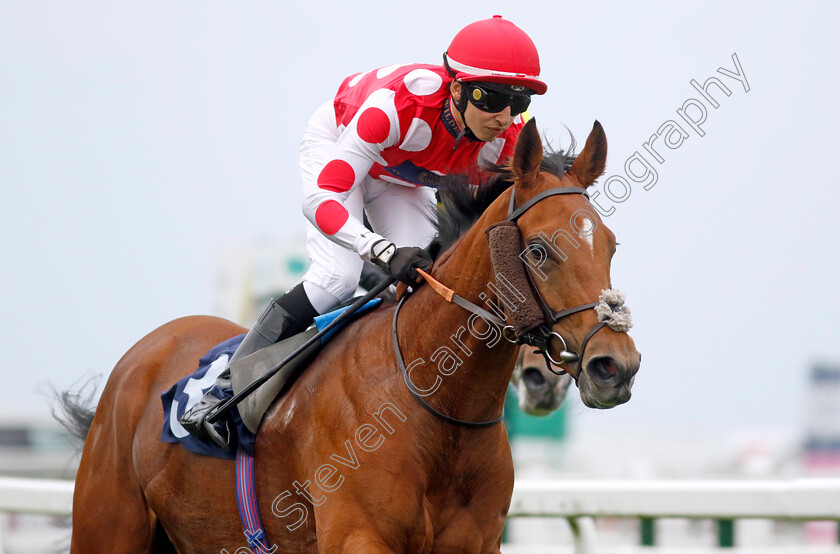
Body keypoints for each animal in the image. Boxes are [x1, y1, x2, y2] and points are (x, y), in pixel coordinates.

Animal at [67, 118, 644, 548]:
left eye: (612, 244)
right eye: (539, 250)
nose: (614, 366)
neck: (435, 406)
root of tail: (149, 348)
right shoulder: (359, 537)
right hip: (106, 525)